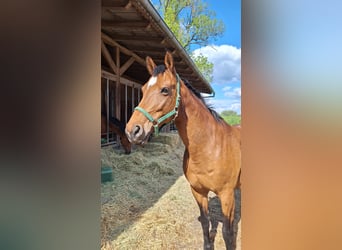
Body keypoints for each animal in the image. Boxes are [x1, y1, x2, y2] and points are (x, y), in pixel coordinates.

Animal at [125, 51, 240, 249]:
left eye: (165, 90)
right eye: (143, 89)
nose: (132, 131)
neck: (209, 148)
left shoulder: (227, 195)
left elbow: (227, 232)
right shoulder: (198, 191)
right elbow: (205, 222)